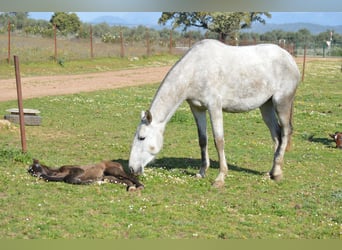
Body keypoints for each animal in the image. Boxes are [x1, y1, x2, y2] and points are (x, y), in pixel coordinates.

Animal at [128, 39, 300, 188]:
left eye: (142, 137)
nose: (131, 168)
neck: (195, 69)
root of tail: (289, 58)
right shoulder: (197, 108)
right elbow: (202, 140)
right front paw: (201, 172)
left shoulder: (214, 106)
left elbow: (219, 140)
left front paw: (220, 178)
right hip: (266, 106)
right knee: (276, 135)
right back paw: (271, 172)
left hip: (281, 102)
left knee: (285, 132)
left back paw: (277, 173)